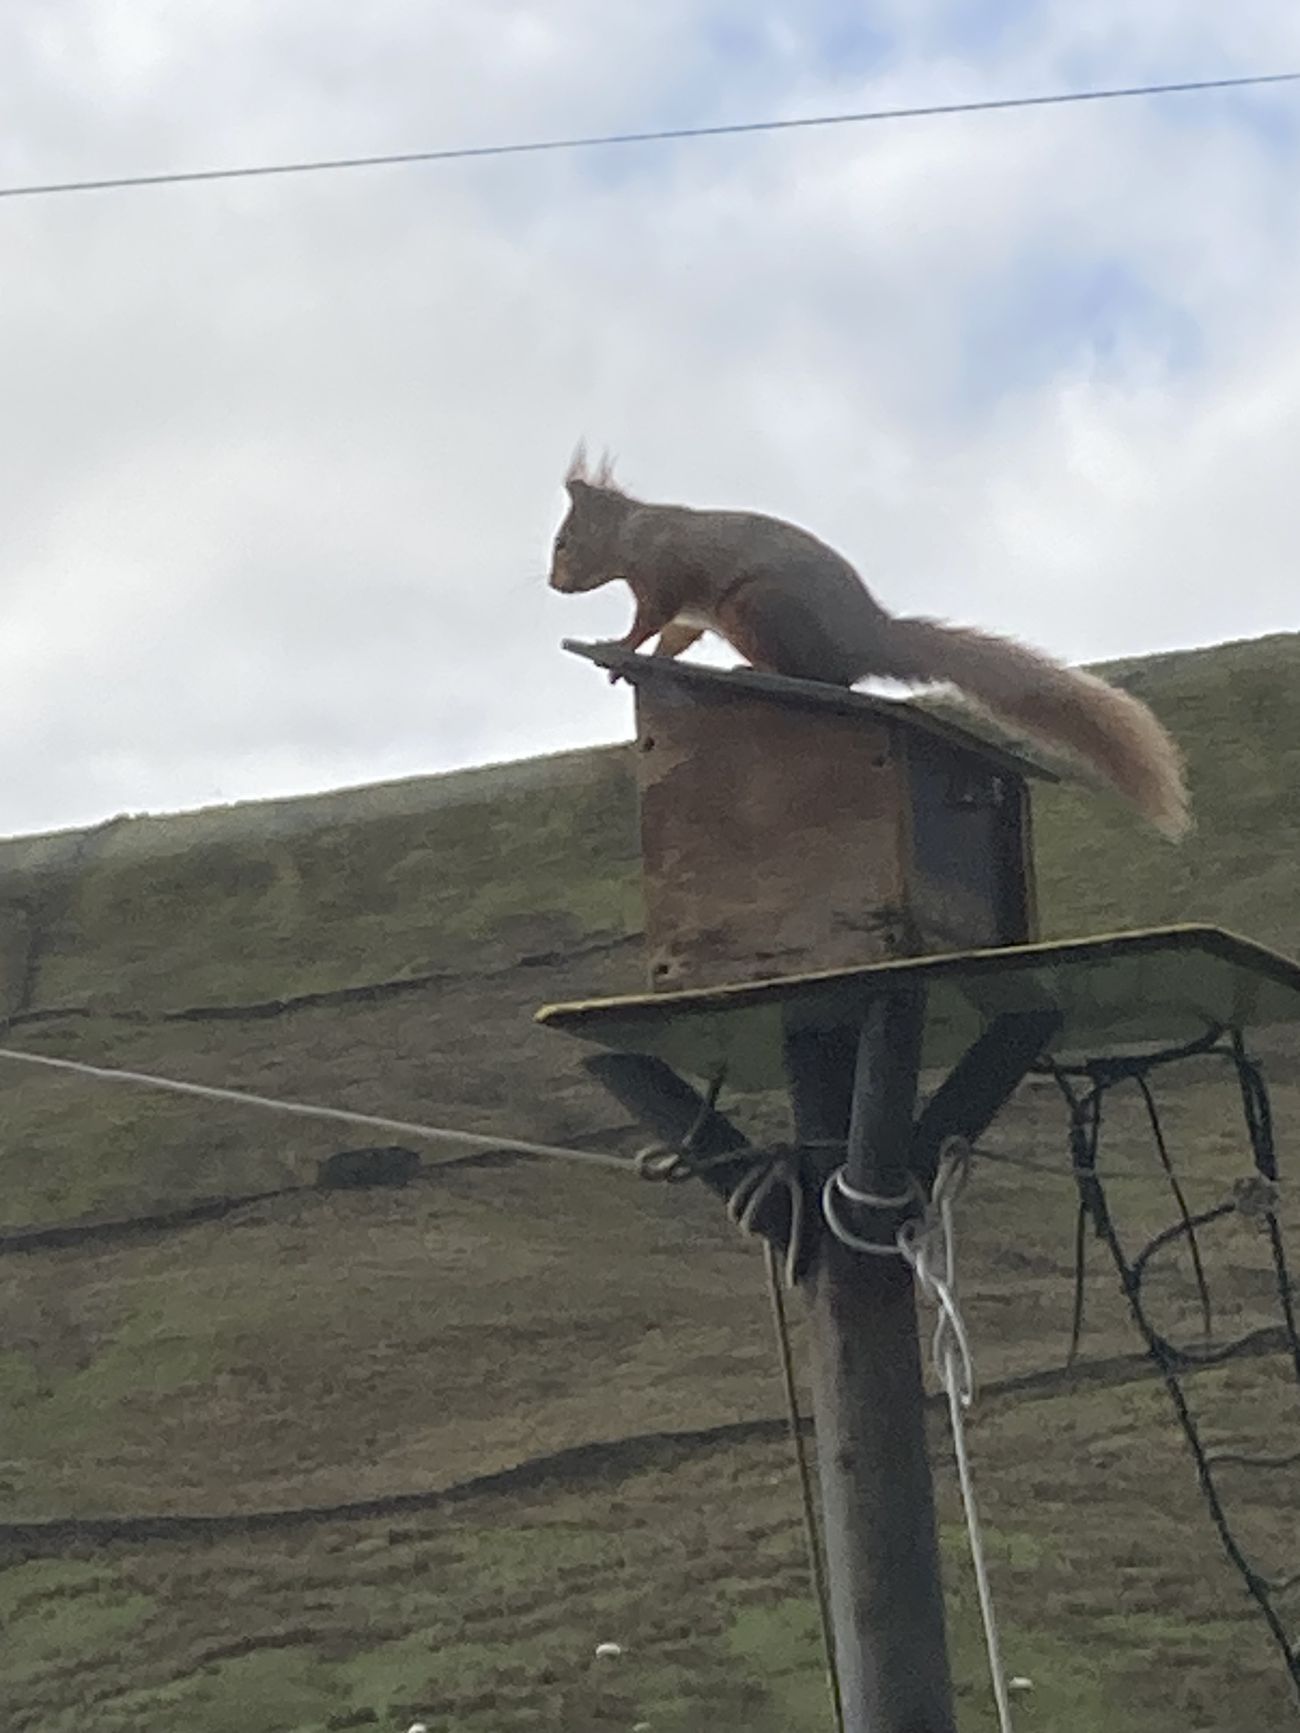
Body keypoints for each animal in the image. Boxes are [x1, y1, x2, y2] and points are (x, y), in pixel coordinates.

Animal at [548, 449, 1190, 839]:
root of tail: (868, 638)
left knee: (826, 678)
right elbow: (675, 636)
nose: (553, 582)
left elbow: (649, 620)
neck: (636, 532)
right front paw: (642, 662)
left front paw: (619, 644)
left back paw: (758, 671)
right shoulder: (689, 614)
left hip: (757, 608)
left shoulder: (665, 579)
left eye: (562, 541)